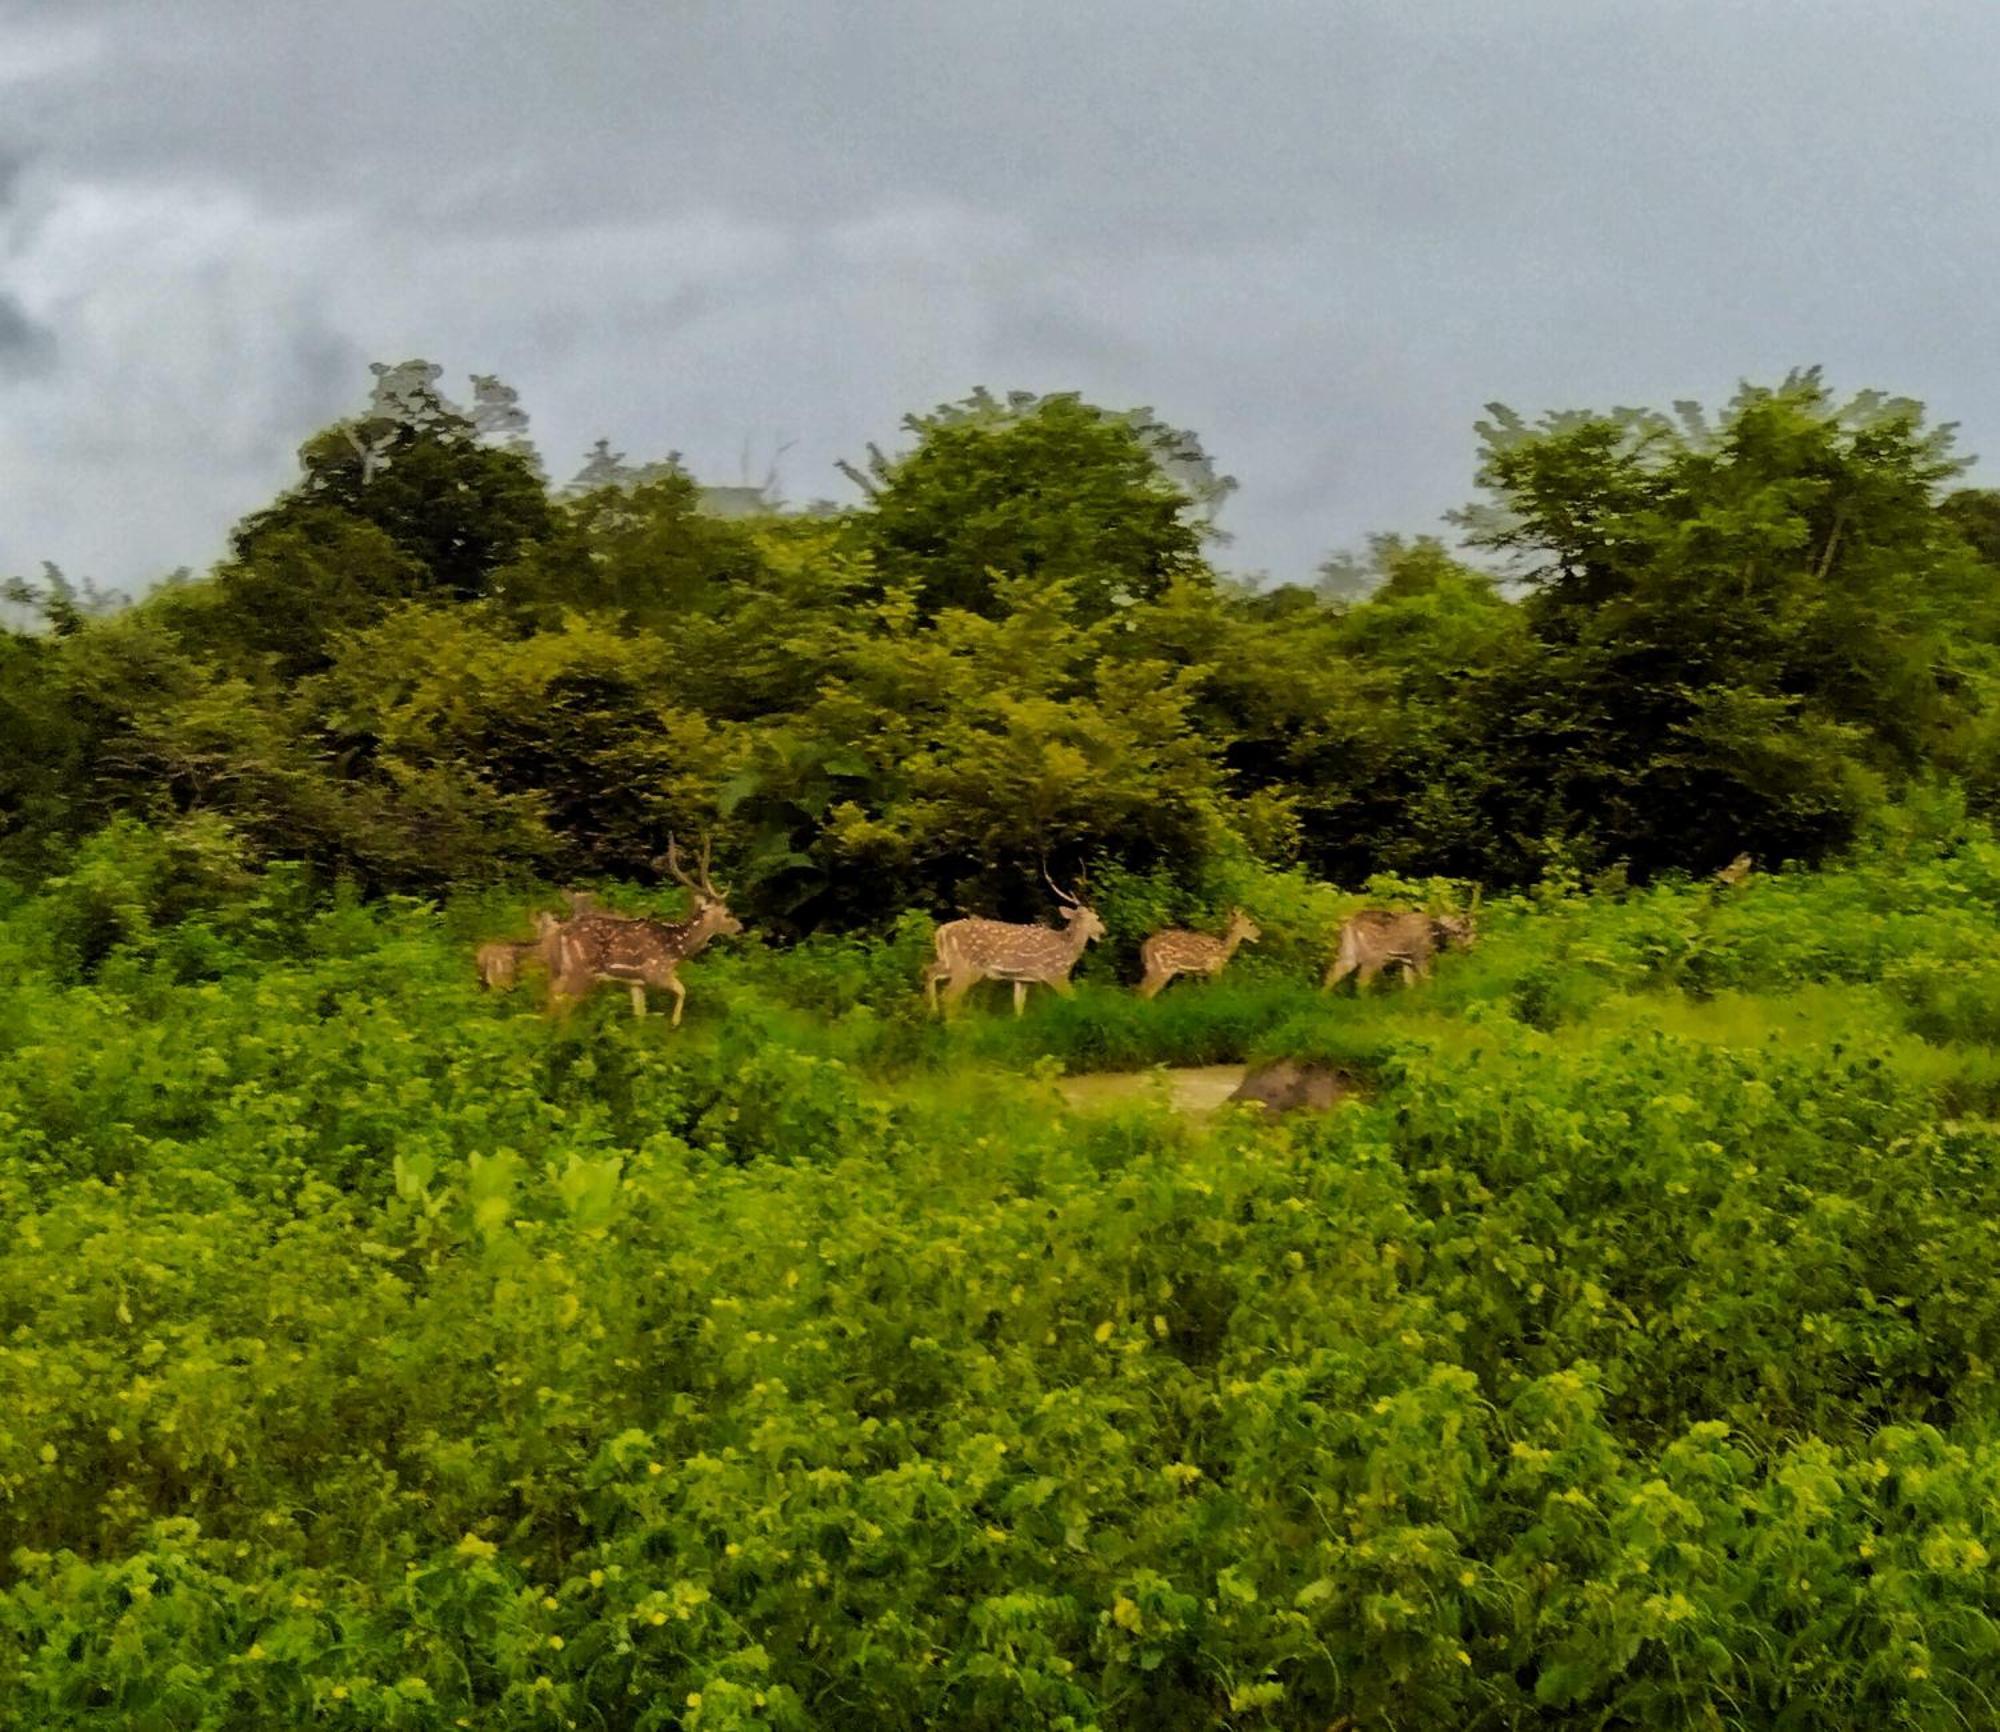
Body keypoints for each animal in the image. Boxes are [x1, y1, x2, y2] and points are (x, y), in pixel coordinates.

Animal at [548, 832, 744, 1020]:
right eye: (727, 913)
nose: (739, 927)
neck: (678, 947)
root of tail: (562, 932)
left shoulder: (637, 983)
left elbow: (640, 1014)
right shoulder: (656, 972)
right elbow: (682, 990)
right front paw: (674, 1023)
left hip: (566, 970)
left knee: (554, 995)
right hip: (581, 970)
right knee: (562, 1003)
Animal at [924, 864, 1112, 1012]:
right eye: (1095, 918)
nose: (1103, 932)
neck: (1068, 949)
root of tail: (941, 932)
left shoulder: (1022, 979)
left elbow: (1018, 1007)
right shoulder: (1056, 973)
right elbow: (1073, 999)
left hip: (949, 961)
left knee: (929, 971)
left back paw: (932, 1014)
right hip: (968, 965)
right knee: (949, 996)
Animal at [1320, 892, 1480, 984]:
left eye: (1473, 932)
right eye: (1461, 931)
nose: (1470, 949)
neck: (1435, 937)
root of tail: (1349, 925)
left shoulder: (1407, 960)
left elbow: (1409, 984)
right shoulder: (1421, 956)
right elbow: (1427, 980)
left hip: (1347, 952)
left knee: (1331, 975)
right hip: (1373, 957)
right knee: (1362, 981)